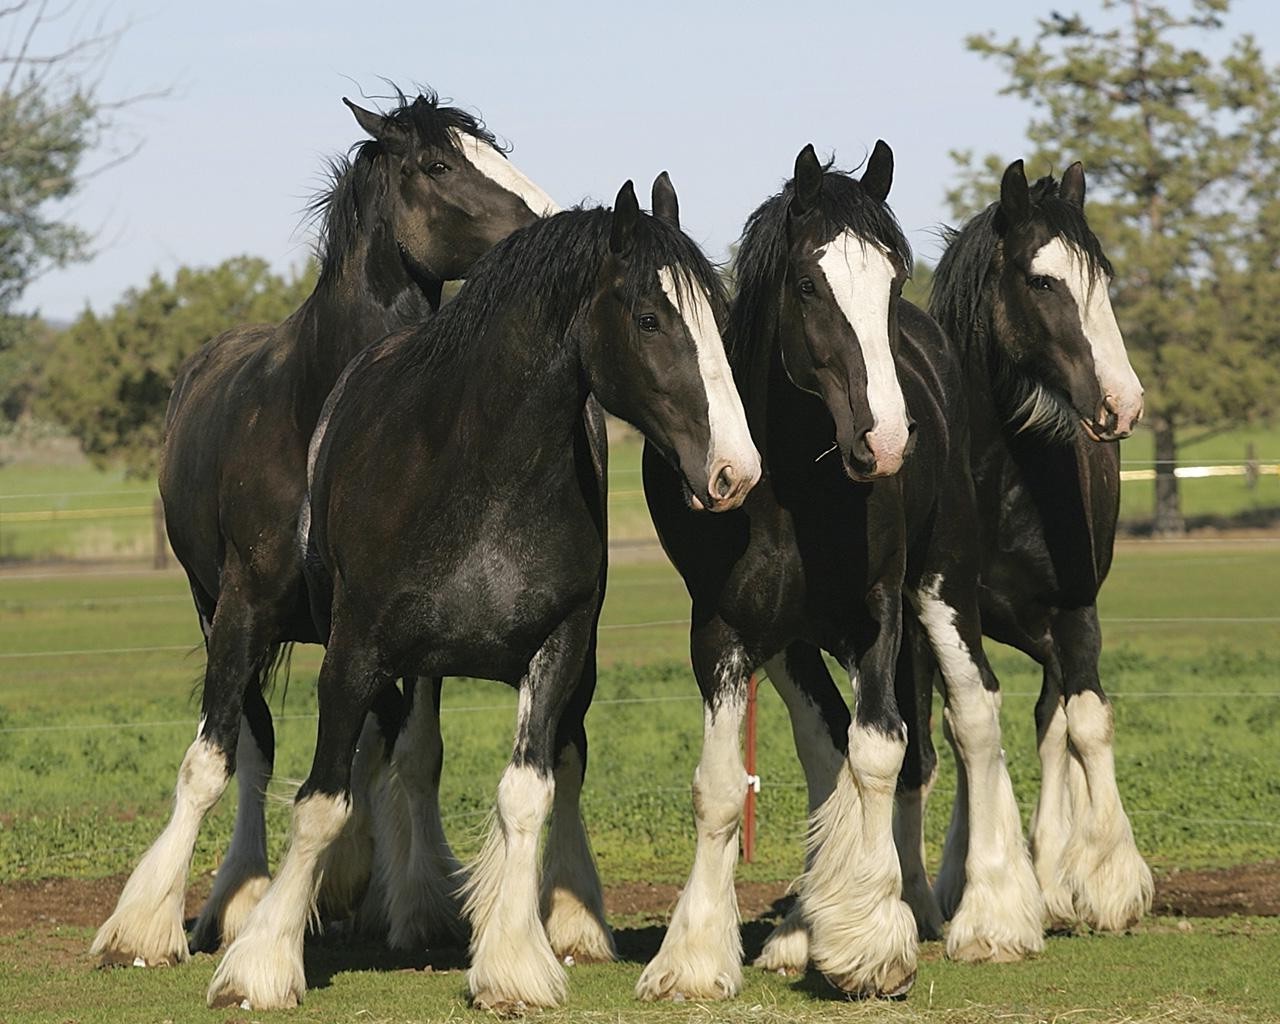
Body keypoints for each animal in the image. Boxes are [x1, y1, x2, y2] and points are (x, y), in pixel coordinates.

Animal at [90, 88, 550, 967]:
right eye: (438, 164)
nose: (548, 225)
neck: (324, 413)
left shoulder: (391, 626)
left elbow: (409, 756)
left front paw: (414, 900)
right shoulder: (241, 614)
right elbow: (213, 760)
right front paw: (145, 923)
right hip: (215, 610)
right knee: (253, 746)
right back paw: (238, 899)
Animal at [202, 181, 757, 1008]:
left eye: (720, 320)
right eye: (650, 319)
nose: (735, 471)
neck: (477, 476)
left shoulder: (557, 650)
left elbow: (527, 792)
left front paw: (514, 964)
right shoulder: (354, 655)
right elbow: (323, 801)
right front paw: (262, 963)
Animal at [634, 144, 1044, 998]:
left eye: (892, 277)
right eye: (809, 284)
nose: (886, 440)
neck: (791, 483)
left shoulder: (878, 611)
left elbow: (881, 750)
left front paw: (869, 944)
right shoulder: (724, 632)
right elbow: (726, 787)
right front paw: (694, 956)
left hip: (942, 588)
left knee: (972, 715)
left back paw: (992, 915)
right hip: (796, 641)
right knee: (831, 748)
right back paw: (816, 923)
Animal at [916, 160, 1157, 936]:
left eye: (1103, 279)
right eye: (1042, 282)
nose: (1123, 404)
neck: (997, 477)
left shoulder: (1076, 614)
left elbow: (1087, 724)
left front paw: (1110, 879)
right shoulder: (934, 624)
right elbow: (946, 743)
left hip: (1049, 632)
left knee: (1055, 723)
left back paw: (1054, 876)